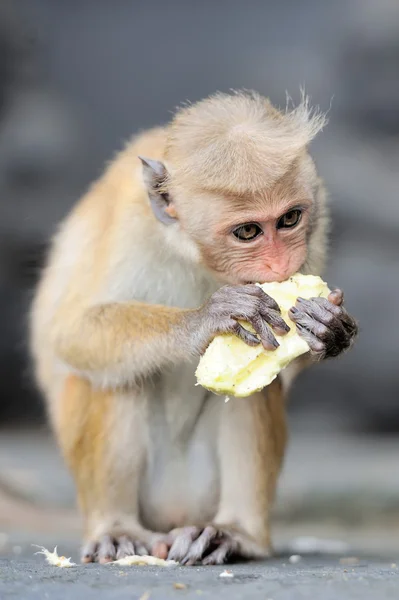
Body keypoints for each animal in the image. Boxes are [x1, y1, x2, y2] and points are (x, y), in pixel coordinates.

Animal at [28, 91, 360, 564]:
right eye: (247, 231)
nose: (280, 265)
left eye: (290, 219)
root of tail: (173, 516)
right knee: (114, 375)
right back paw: (116, 527)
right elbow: (72, 334)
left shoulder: (318, 217)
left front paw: (328, 327)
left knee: (257, 389)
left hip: (200, 493)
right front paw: (206, 319)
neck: (197, 257)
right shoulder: (129, 223)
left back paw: (235, 533)